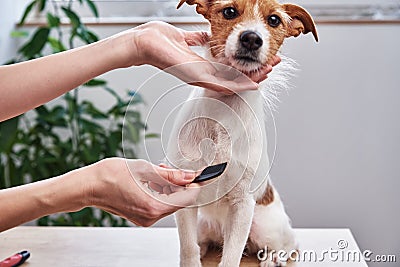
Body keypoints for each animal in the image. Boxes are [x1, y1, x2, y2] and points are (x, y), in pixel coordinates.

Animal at [164, 0, 318, 267]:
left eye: (274, 20)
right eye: (229, 11)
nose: (251, 38)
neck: (224, 110)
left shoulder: (242, 204)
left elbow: (231, 255)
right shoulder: (185, 196)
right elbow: (188, 249)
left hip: (264, 226)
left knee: (291, 244)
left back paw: (273, 257)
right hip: (204, 224)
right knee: (202, 241)